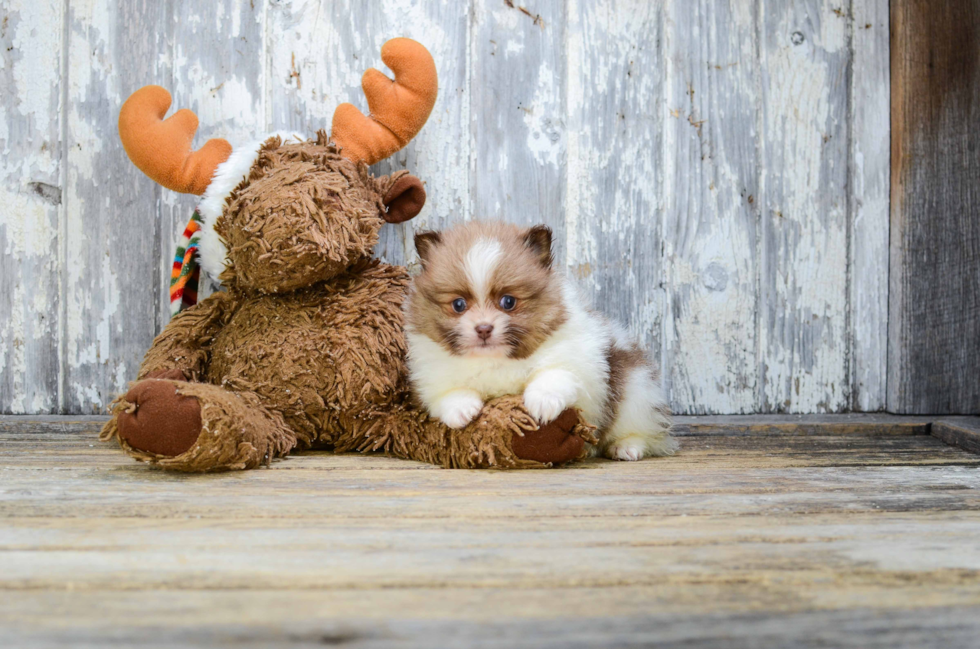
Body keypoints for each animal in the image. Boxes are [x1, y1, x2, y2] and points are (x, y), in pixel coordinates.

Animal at [400, 223, 672, 460]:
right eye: (458, 305)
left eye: (508, 302)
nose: (484, 328)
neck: (495, 358)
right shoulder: (431, 373)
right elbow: (446, 393)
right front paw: (461, 409)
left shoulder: (576, 359)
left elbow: (553, 375)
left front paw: (542, 404)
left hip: (636, 390)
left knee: (645, 431)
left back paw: (626, 447)